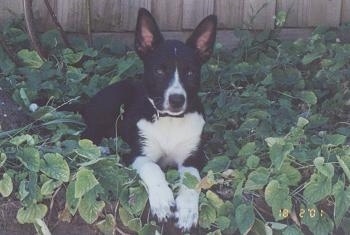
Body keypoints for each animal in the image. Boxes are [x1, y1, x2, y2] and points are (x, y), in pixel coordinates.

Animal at [81, 8, 216, 230]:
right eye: (159, 71)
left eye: (190, 73)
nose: (177, 100)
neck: (169, 121)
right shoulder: (137, 153)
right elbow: (153, 168)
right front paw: (162, 201)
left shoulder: (193, 157)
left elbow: (191, 181)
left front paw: (187, 212)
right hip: (112, 102)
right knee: (86, 135)